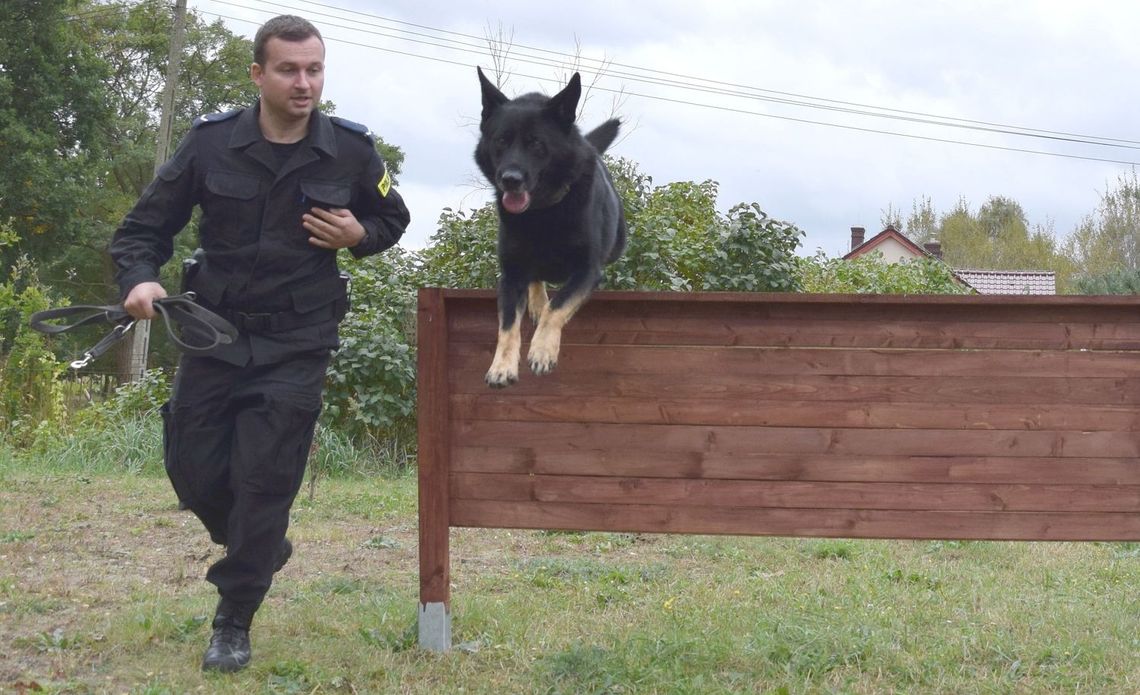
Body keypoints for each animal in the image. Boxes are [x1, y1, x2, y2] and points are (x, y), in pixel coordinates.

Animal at [476, 66, 629, 387]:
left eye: (536, 143)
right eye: (501, 141)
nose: (510, 179)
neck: (543, 212)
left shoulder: (587, 270)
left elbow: (557, 306)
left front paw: (542, 350)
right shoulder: (511, 274)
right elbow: (507, 325)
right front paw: (502, 366)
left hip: (617, 245)